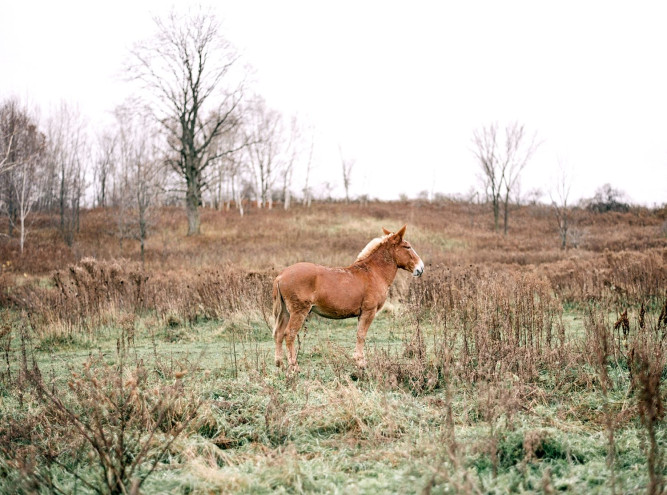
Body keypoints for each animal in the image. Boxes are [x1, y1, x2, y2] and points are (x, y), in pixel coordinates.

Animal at [270, 225, 422, 372]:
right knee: (289, 334)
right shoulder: (368, 312)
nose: (420, 268)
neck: (373, 272)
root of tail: (281, 276)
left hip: (285, 312)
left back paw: (280, 364)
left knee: (278, 334)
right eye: (407, 247)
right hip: (298, 312)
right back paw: (294, 366)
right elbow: (361, 335)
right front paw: (361, 363)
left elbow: (359, 334)